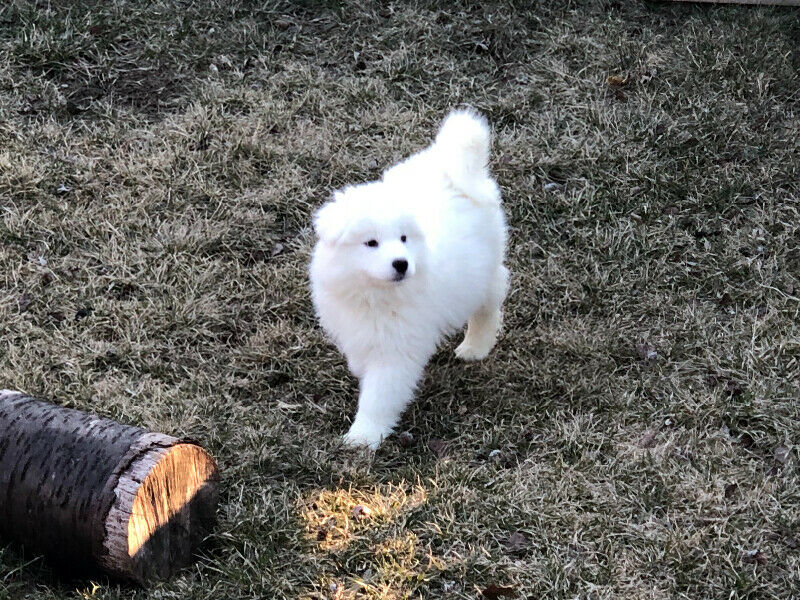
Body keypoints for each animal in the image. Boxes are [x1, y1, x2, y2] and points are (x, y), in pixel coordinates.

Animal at [310, 110, 510, 448]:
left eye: (403, 238)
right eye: (371, 243)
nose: (402, 264)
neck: (375, 295)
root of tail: (451, 164)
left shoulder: (396, 349)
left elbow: (379, 394)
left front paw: (363, 436)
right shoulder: (354, 327)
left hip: (483, 272)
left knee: (487, 306)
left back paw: (475, 346)